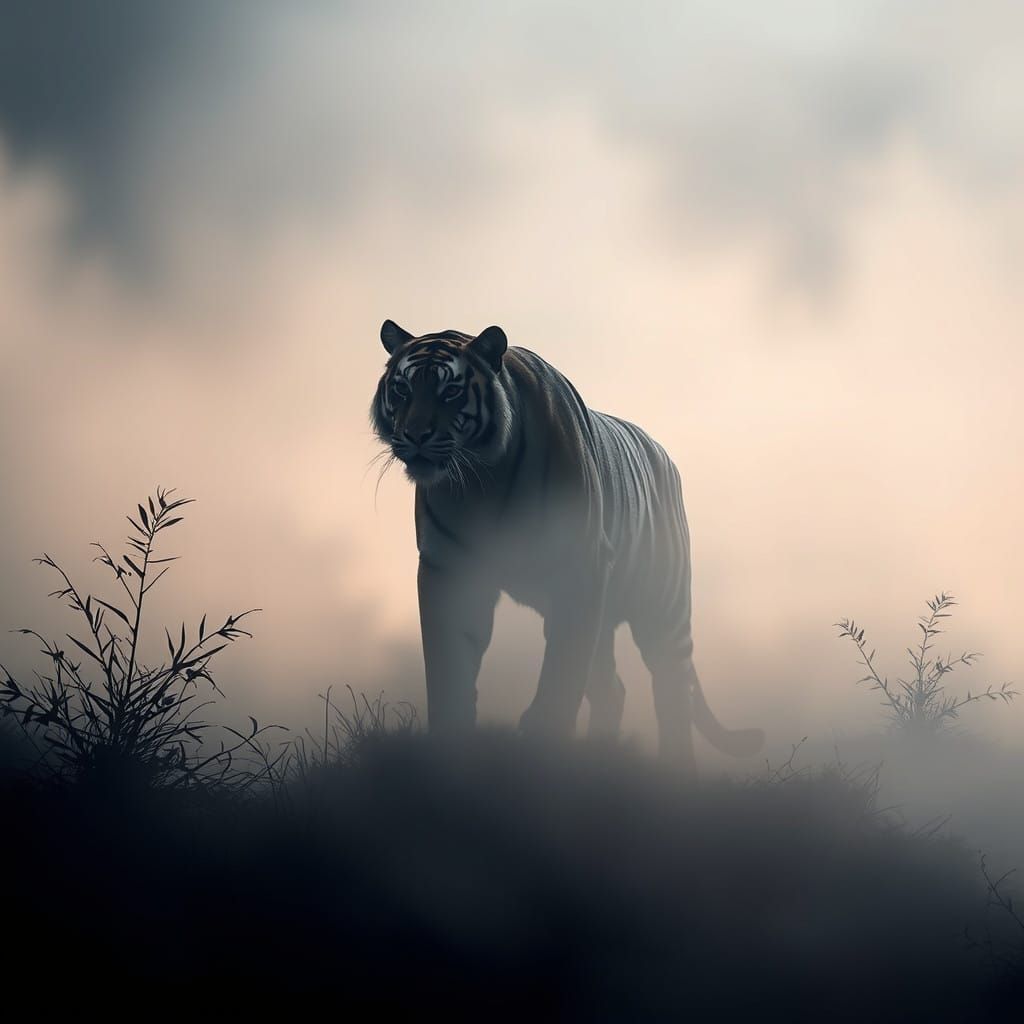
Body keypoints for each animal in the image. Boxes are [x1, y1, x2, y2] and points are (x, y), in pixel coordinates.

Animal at [370, 319, 764, 771]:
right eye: (402, 388)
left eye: (450, 391)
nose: (415, 435)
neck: (481, 484)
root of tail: (663, 454)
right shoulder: (448, 571)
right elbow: (449, 664)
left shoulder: (580, 571)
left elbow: (562, 673)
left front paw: (542, 739)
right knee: (613, 688)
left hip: (663, 607)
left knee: (671, 688)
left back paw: (677, 768)